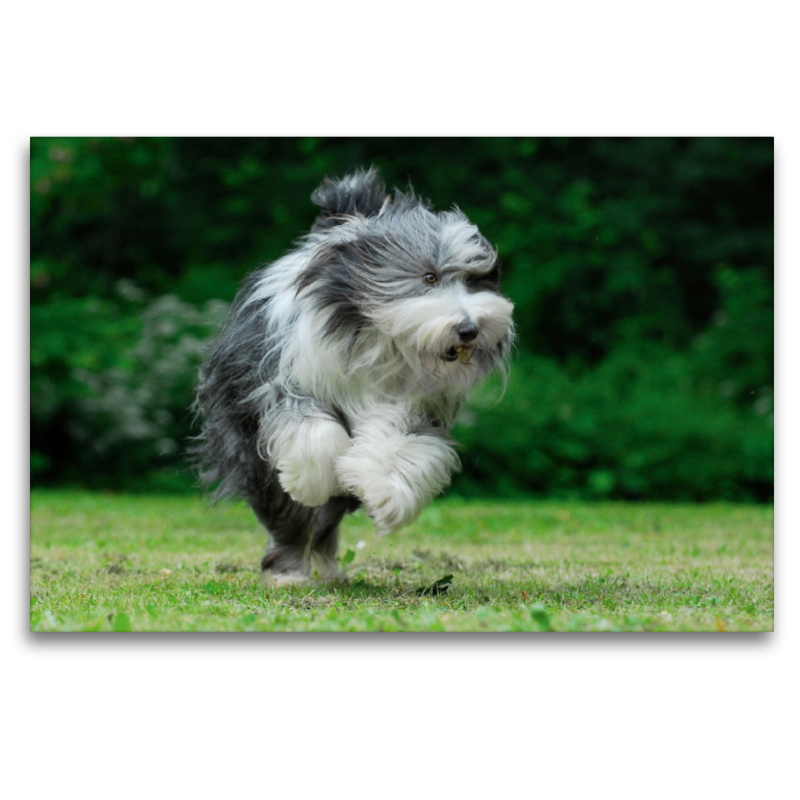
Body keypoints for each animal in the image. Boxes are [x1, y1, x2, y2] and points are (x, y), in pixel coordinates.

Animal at [192, 167, 512, 580]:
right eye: (429, 277)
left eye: (476, 281)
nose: (470, 329)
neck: (380, 338)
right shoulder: (282, 381)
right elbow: (314, 432)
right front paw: (313, 479)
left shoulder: (415, 406)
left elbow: (400, 446)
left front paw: (386, 496)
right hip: (247, 447)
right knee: (286, 514)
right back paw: (288, 572)